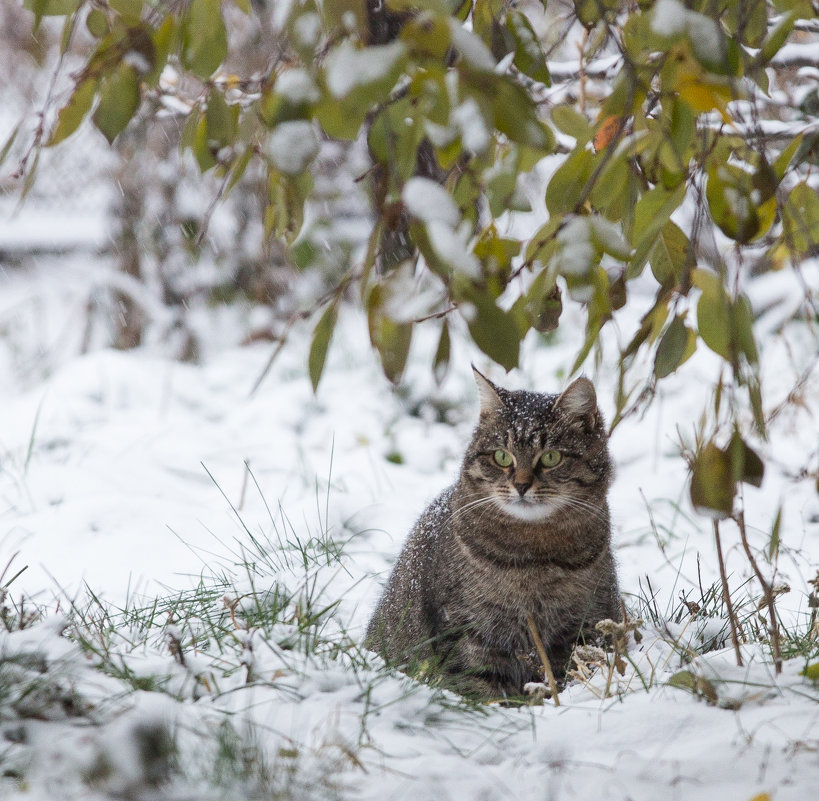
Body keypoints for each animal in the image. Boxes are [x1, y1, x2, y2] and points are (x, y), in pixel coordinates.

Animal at [366, 366, 620, 696]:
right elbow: (482, 689)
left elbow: (569, 673)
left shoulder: (584, 623)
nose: (521, 485)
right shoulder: (466, 630)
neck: (534, 556)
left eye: (551, 457)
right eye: (501, 456)